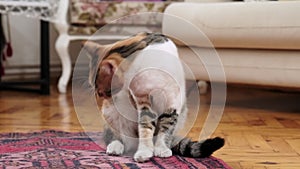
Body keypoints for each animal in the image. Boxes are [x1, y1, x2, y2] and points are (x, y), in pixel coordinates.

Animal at [83, 32, 224, 162]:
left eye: (102, 92)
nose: (100, 97)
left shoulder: (173, 100)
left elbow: (166, 127)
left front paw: (161, 149)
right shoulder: (143, 100)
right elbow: (145, 126)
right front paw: (144, 152)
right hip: (111, 114)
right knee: (114, 135)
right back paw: (116, 147)